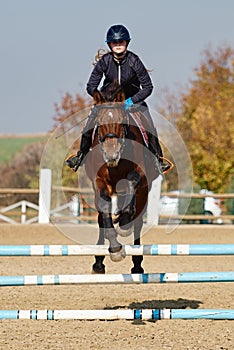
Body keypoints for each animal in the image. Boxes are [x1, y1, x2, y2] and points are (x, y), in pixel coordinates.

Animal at [84, 84, 161, 274]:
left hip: (144, 192)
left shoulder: (140, 175)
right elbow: (105, 211)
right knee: (101, 218)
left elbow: (131, 182)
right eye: (99, 123)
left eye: (122, 122)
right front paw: (115, 248)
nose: (112, 155)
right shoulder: (99, 182)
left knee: (138, 221)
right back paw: (98, 262)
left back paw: (137, 264)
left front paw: (125, 223)